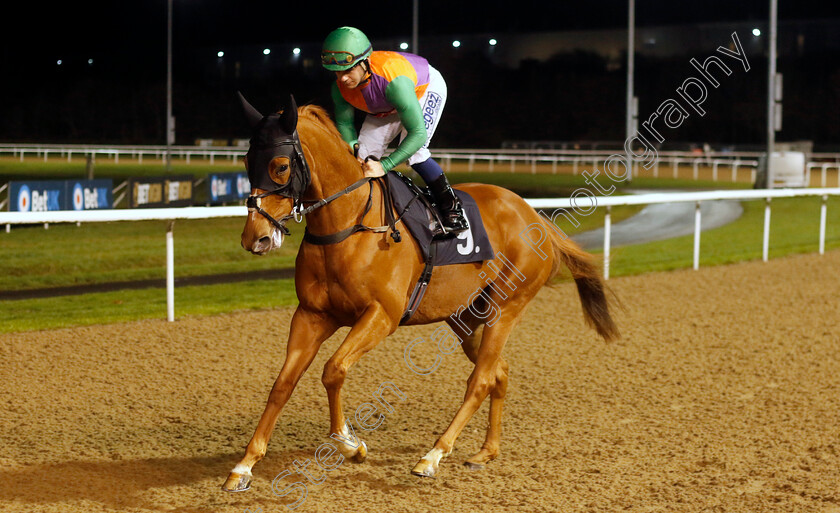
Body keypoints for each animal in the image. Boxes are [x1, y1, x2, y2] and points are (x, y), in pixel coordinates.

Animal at [223, 94, 616, 490]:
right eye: (246, 162)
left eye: (281, 166)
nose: (255, 238)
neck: (349, 224)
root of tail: (536, 218)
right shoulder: (311, 315)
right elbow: (282, 384)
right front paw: (245, 464)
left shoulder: (382, 315)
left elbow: (333, 370)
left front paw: (349, 443)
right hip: (467, 316)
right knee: (498, 371)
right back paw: (486, 451)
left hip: (506, 307)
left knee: (480, 380)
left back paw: (433, 455)